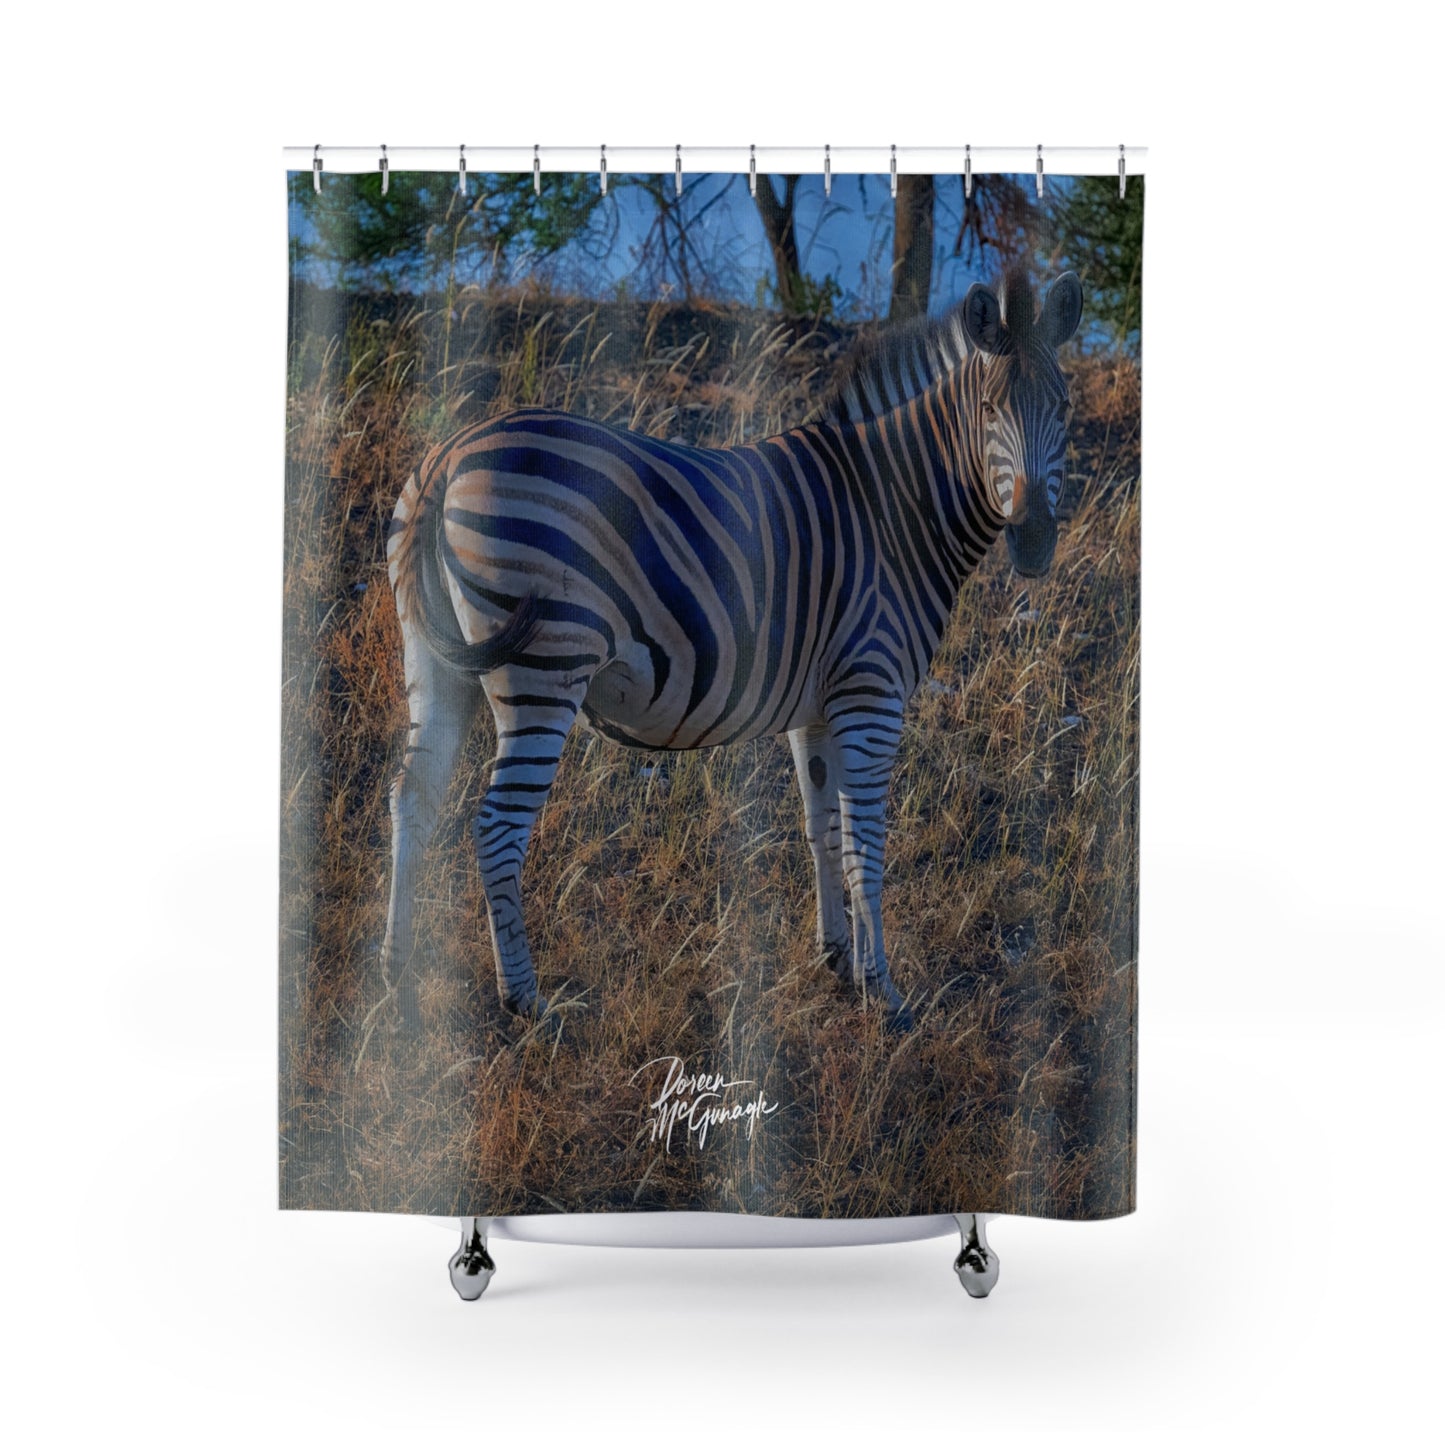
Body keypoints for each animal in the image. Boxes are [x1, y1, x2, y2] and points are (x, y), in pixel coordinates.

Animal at [380, 269, 1082, 1034]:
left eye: (1063, 406)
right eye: (989, 409)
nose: (1034, 541)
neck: (894, 509)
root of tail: (450, 455)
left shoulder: (819, 705)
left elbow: (821, 828)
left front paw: (837, 958)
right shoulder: (871, 691)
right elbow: (865, 843)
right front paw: (885, 993)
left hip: (434, 663)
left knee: (412, 797)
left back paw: (398, 976)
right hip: (544, 668)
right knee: (497, 830)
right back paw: (526, 1001)